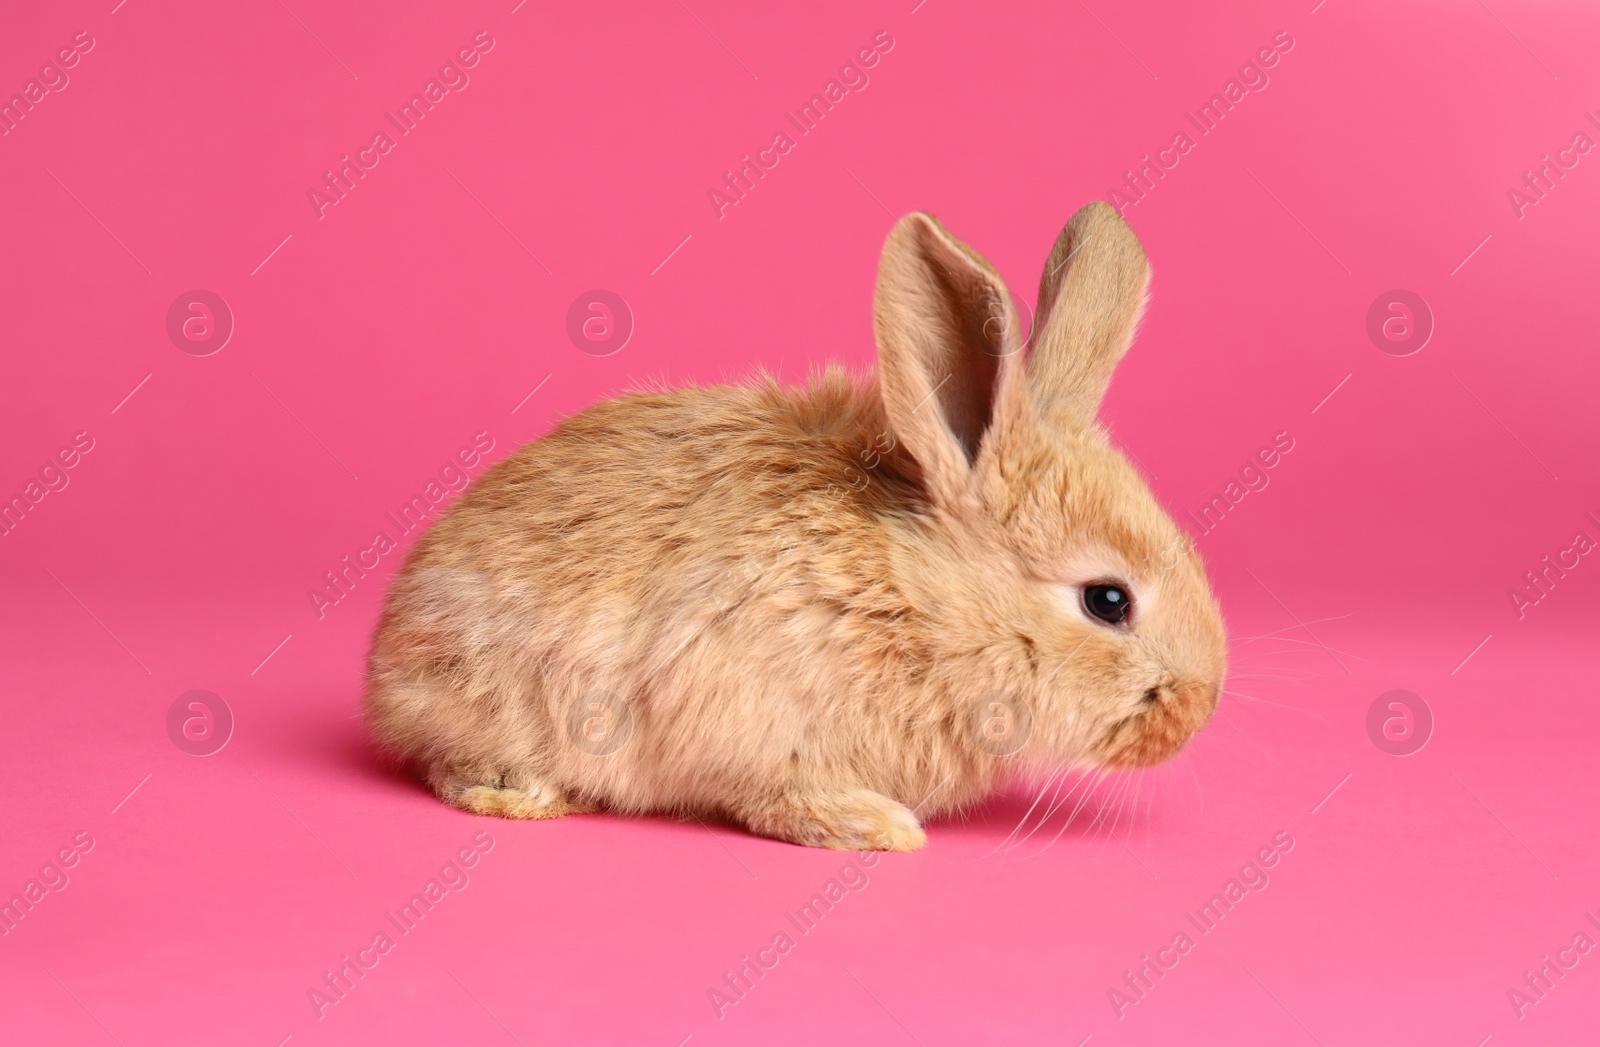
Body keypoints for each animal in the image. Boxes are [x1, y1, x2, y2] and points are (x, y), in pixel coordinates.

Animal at [366, 203, 1222, 851]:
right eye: (1108, 601)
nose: (1198, 710)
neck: (921, 600)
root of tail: (385, 661)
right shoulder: (747, 716)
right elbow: (779, 796)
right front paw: (881, 827)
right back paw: (529, 795)